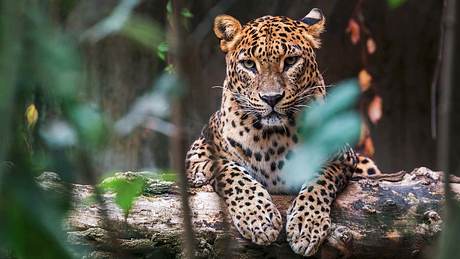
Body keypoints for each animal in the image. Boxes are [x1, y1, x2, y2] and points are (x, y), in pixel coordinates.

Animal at [185, 8, 382, 258]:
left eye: (290, 61)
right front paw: (259, 218)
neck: (273, 137)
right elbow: (232, 172)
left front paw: (307, 226)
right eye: (249, 64)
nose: (271, 98)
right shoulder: (198, 153)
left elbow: (319, 180)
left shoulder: (342, 157)